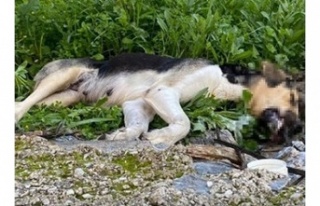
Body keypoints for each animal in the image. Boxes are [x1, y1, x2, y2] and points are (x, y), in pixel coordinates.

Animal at [15, 53, 302, 150]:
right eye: (293, 98)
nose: (298, 130)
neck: (228, 82)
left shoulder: (140, 102)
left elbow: (137, 127)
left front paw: (122, 135)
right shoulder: (162, 92)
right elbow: (183, 123)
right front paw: (160, 138)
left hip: (61, 99)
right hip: (62, 75)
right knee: (20, 105)